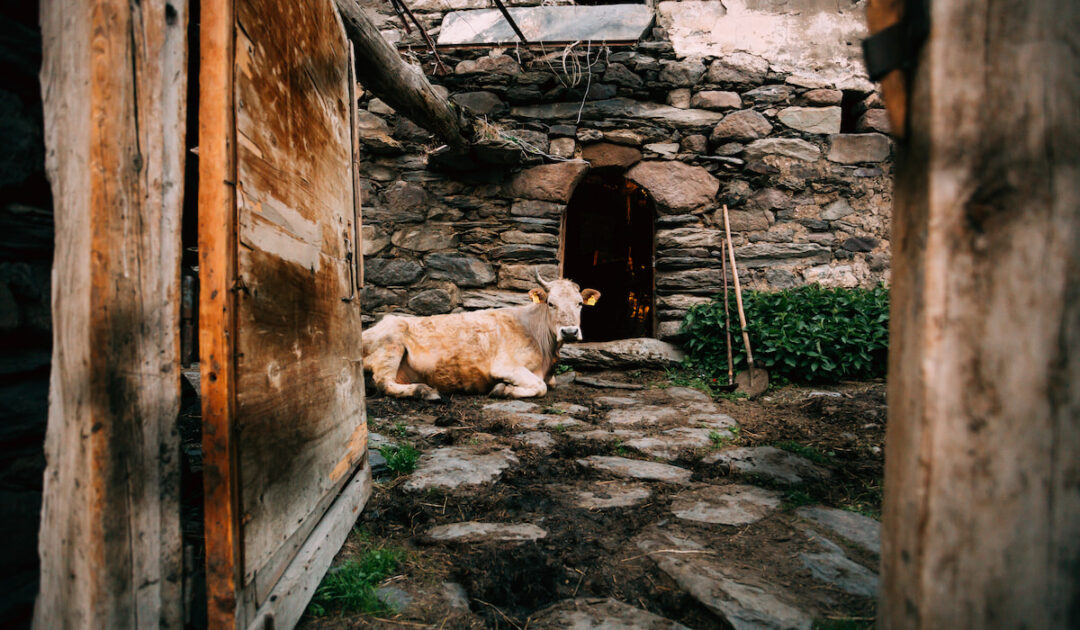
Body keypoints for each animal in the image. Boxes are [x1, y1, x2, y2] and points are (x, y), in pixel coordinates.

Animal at [362, 272, 600, 400]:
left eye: (580, 303)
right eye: (551, 303)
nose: (569, 331)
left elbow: (550, 384)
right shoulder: (505, 366)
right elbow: (540, 387)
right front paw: (502, 389)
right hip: (390, 347)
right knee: (384, 383)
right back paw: (425, 391)